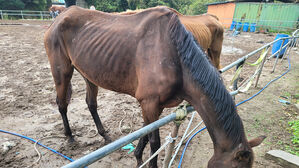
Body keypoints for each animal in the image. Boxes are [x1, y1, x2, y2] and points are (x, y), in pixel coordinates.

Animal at [44, 6, 264, 168]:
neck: (176, 58)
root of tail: (59, 17)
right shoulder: (149, 103)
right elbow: (154, 142)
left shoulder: (152, 106)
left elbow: (145, 131)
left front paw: (138, 157)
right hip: (62, 73)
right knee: (61, 103)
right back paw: (70, 137)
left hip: (89, 74)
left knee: (91, 103)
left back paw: (105, 135)